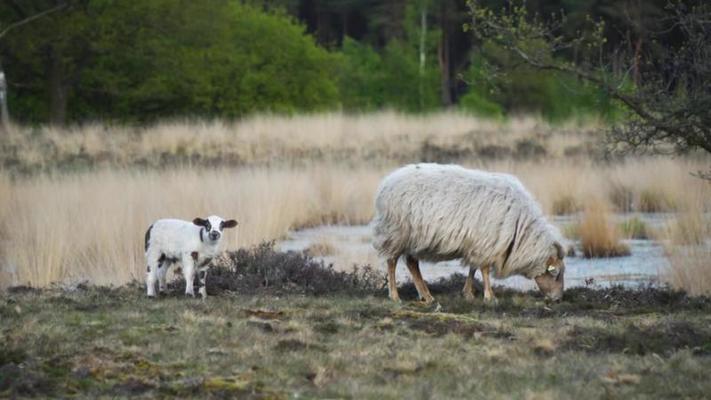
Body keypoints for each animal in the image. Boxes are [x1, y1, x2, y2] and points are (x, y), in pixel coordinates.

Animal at [372, 162, 568, 304]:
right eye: (556, 273)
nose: (558, 299)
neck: (520, 227)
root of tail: (385, 184)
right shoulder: (487, 243)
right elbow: (485, 269)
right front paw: (490, 296)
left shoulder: (477, 243)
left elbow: (474, 267)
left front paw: (468, 293)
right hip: (397, 232)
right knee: (392, 262)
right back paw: (395, 296)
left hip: (414, 238)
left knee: (412, 263)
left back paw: (426, 296)